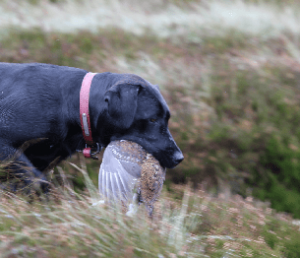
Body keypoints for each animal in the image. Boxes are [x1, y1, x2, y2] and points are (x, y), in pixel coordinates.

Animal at [0, 61, 183, 188]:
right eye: (152, 119)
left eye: (167, 119)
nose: (179, 158)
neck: (76, 103)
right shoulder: (6, 146)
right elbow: (38, 181)